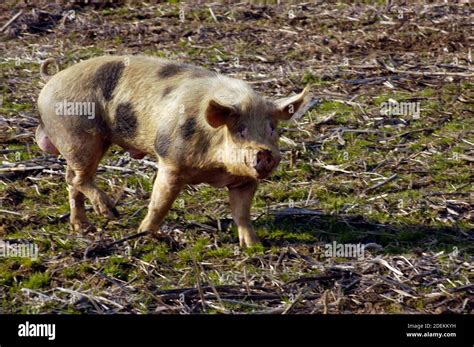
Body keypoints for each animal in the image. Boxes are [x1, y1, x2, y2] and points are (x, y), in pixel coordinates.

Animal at [36, 56, 312, 247]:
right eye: (240, 129)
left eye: (272, 127)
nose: (264, 152)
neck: (215, 168)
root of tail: (51, 80)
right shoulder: (170, 160)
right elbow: (160, 202)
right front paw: (145, 233)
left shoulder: (244, 179)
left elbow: (242, 213)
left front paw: (253, 246)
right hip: (79, 135)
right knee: (77, 178)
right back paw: (112, 213)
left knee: (72, 181)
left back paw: (83, 228)